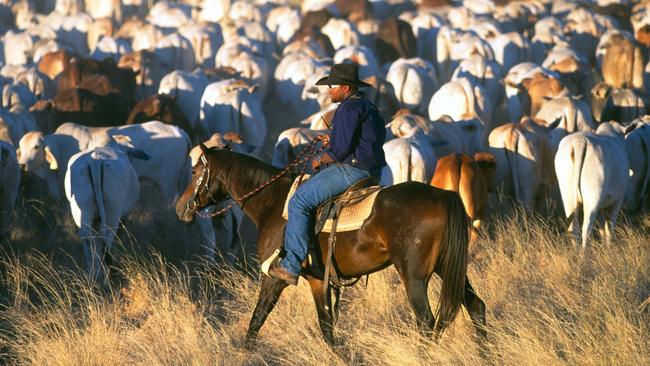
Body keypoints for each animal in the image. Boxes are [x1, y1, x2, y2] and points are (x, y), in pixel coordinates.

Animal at [175, 146, 484, 346]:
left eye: (195, 170)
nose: (180, 207)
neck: (273, 203)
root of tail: (443, 196)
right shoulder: (316, 281)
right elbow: (327, 328)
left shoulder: (274, 276)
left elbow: (257, 318)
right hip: (450, 268)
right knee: (475, 306)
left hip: (415, 276)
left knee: (426, 323)